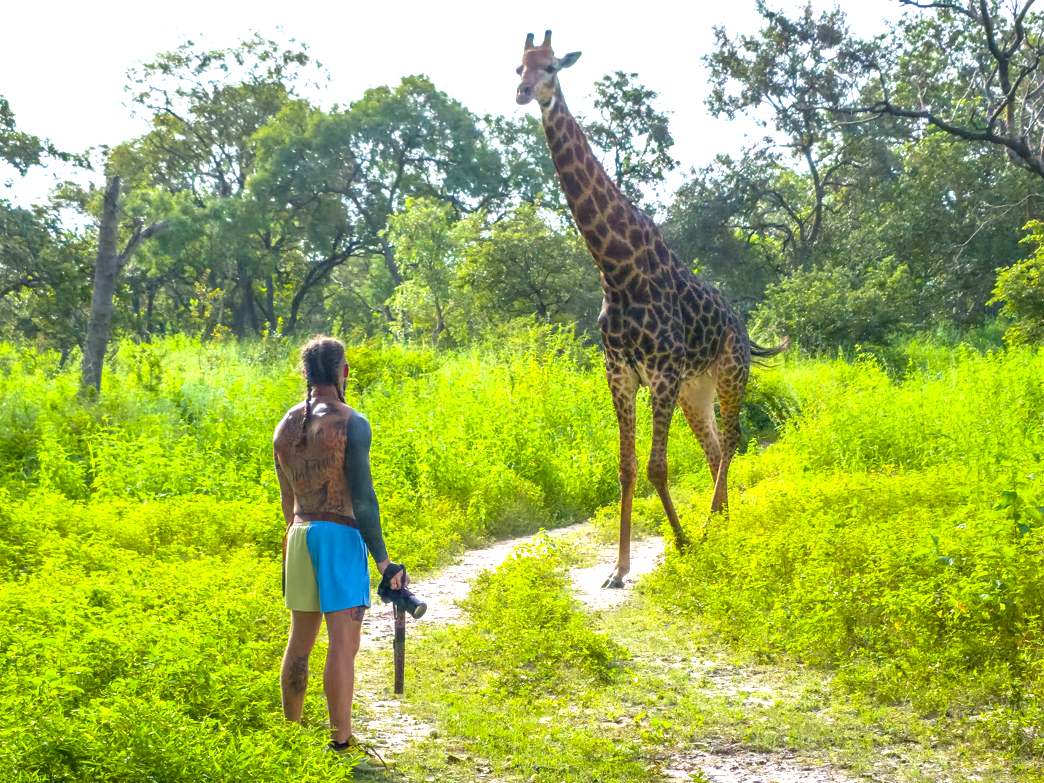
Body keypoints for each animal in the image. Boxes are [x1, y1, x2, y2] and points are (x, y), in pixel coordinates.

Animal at [515, 31, 786, 588]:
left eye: (552, 67)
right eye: (516, 68)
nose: (526, 93)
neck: (616, 266)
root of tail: (742, 326)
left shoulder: (660, 371)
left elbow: (658, 467)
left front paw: (681, 544)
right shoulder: (619, 372)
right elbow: (627, 467)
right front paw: (618, 570)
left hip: (729, 373)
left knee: (734, 439)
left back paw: (710, 527)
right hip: (694, 389)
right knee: (714, 446)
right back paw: (720, 523)